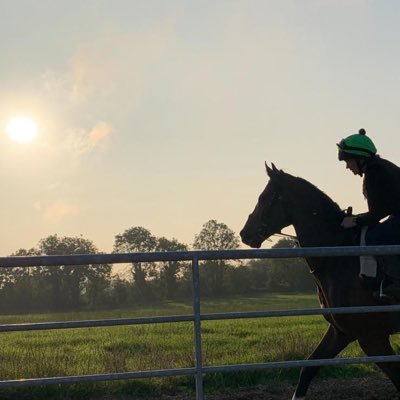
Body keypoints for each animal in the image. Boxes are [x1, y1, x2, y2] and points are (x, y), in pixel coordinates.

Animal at [239, 162, 400, 400]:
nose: (245, 233)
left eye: (265, 198)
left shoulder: (372, 338)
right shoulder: (340, 332)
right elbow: (309, 368)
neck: (338, 257)